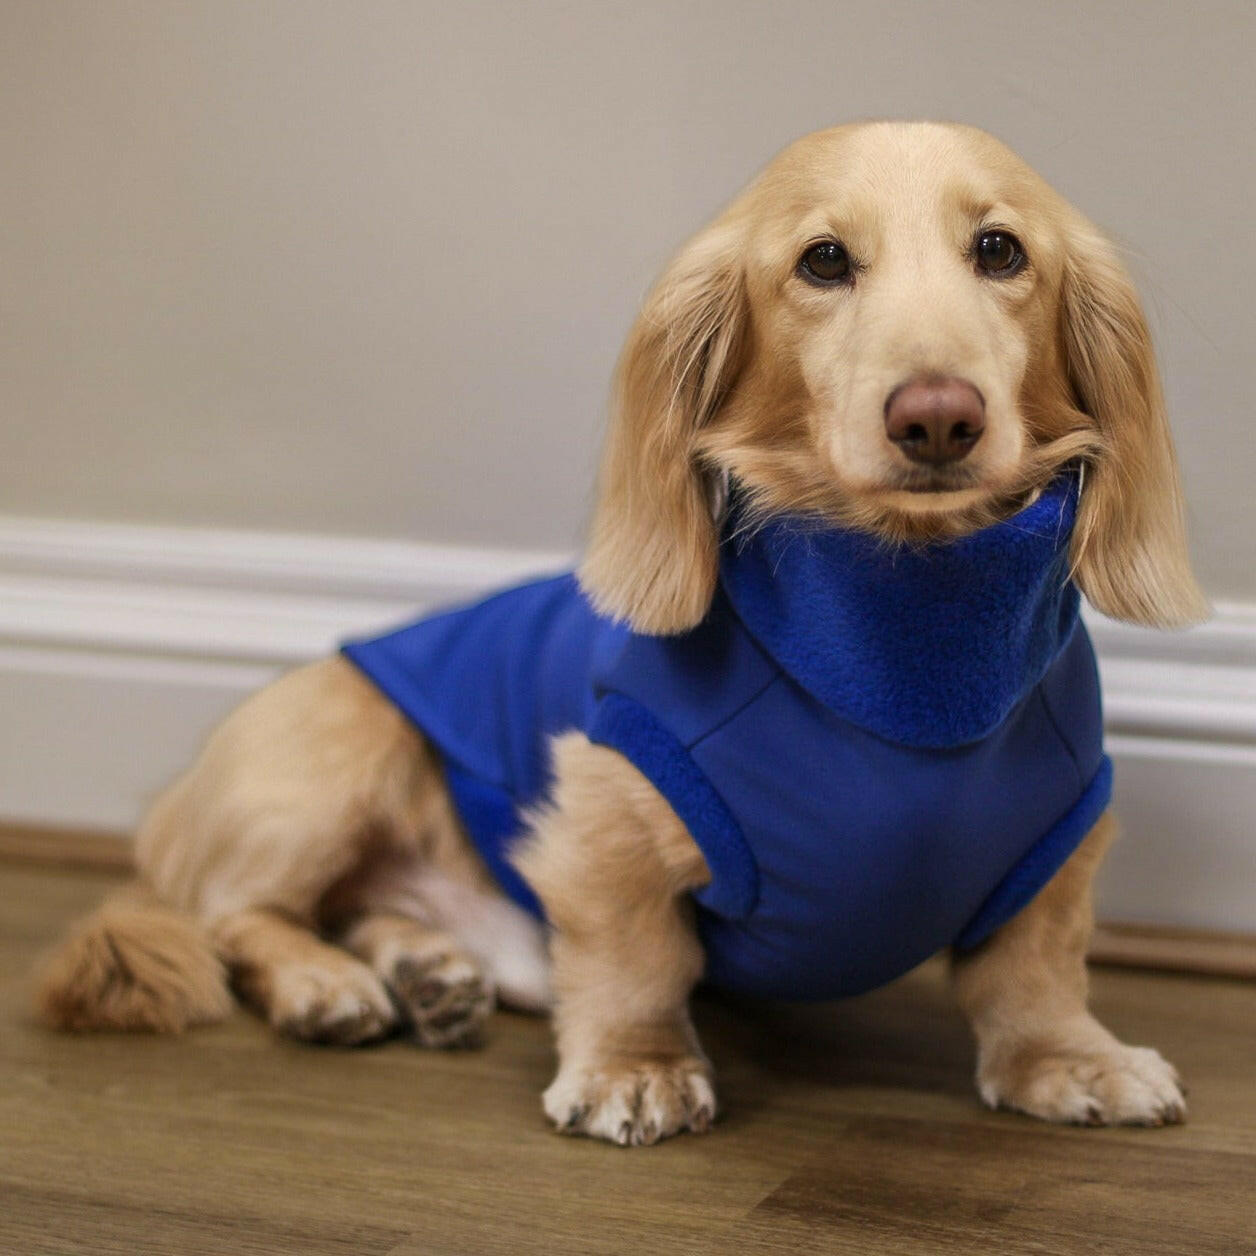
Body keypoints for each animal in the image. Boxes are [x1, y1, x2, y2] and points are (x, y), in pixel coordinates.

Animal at [34, 119, 1200, 1150]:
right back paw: (326, 982)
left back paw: (424, 971)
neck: (901, 636)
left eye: (999, 250)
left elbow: (1035, 968)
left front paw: (1069, 1058)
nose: (937, 417)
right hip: (331, 757)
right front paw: (634, 1070)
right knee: (232, 913)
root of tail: (170, 809)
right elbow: (635, 957)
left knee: (358, 910)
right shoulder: (607, 812)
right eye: (823, 260)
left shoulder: (1060, 836)